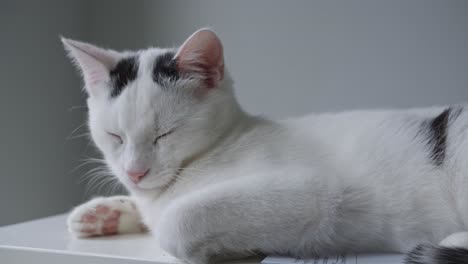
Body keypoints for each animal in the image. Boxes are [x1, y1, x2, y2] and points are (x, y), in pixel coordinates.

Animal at [62, 28, 468, 264]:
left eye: (166, 134)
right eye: (115, 136)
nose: (134, 171)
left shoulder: (314, 191)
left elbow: (176, 221)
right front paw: (105, 212)